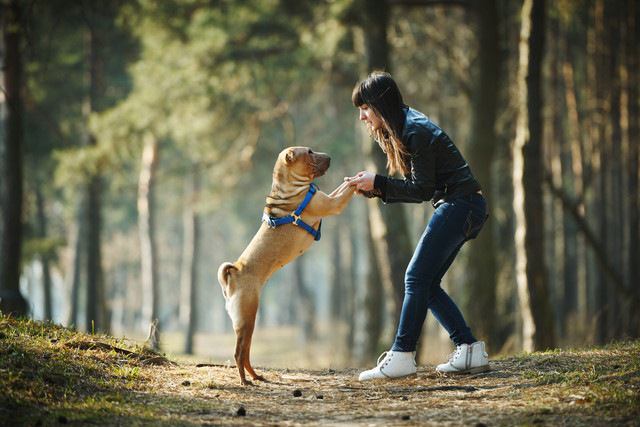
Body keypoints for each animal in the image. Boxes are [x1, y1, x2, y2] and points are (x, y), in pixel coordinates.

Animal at [215, 146, 356, 384]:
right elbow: (346, 190)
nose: (329, 157)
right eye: (309, 152)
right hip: (247, 318)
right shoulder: (331, 204)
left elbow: (340, 187)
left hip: (247, 322)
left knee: (246, 353)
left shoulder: (327, 197)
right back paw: (244, 380)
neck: (291, 187)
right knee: (238, 353)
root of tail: (233, 274)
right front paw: (359, 180)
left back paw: (256, 376)